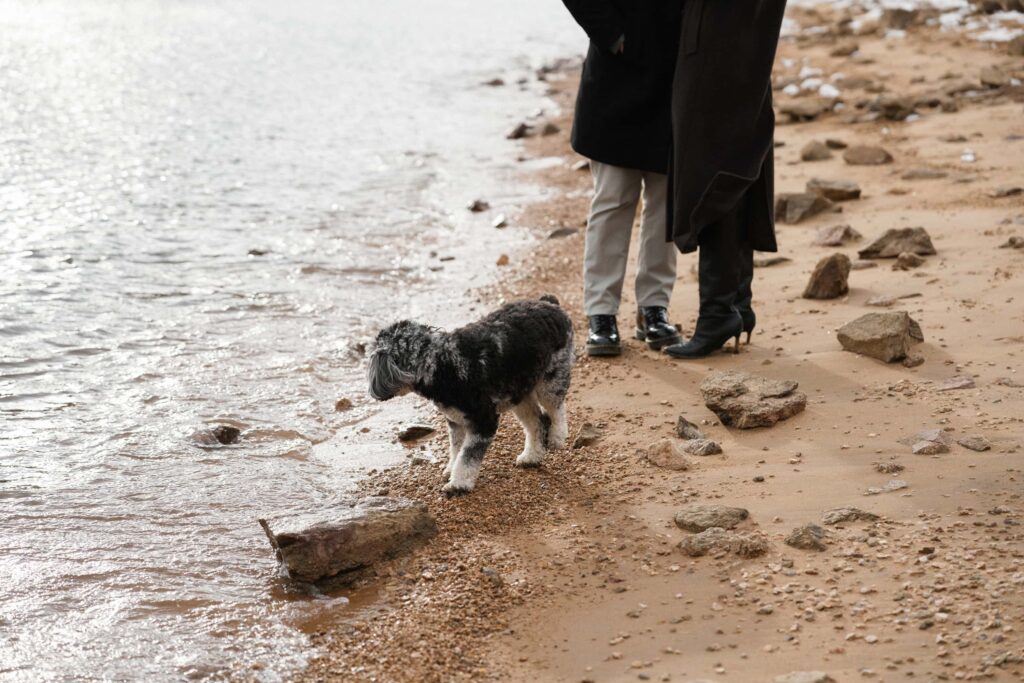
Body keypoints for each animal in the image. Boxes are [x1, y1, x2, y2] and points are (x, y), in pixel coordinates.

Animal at [368, 294, 577, 497]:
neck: (442, 363)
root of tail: (549, 303)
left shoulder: (483, 421)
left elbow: (467, 457)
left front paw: (458, 484)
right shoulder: (456, 421)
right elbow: (456, 450)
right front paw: (451, 470)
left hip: (550, 381)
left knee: (556, 410)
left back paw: (557, 438)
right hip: (519, 393)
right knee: (537, 421)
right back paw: (531, 457)